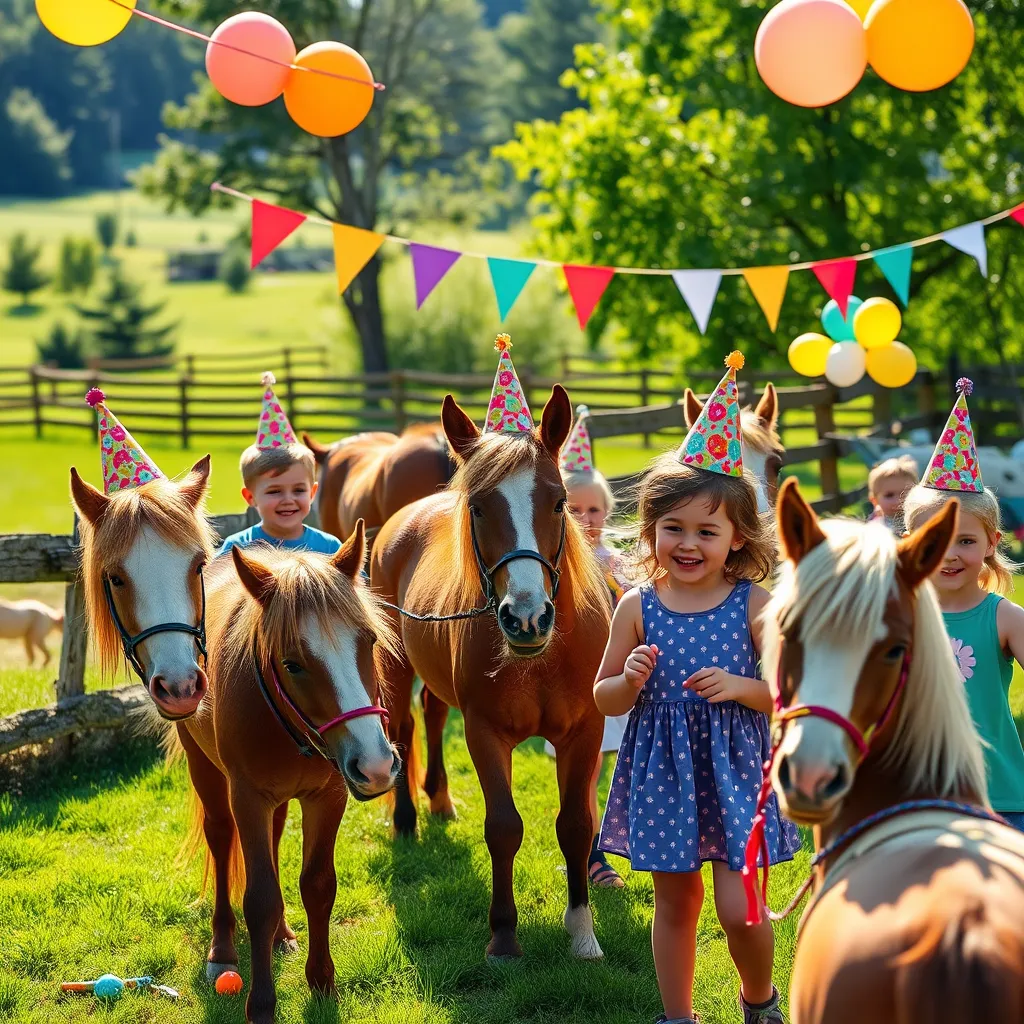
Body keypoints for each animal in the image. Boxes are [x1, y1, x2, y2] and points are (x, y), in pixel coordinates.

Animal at [167, 530, 401, 1024]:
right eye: (292, 663)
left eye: (368, 640)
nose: (375, 765)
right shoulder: (248, 798)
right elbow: (259, 898)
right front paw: (261, 1003)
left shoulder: (328, 797)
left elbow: (317, 885)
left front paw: (323, 982)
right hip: (206, 770)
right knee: (221, 840)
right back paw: (222, 946)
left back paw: (281, 935)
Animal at [370, 385, 612, 960]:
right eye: (478, 507)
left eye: (559, 501)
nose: (526, 617)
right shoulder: (485, 733)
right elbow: (503, 828)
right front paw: (503, 936)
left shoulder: (584, 733)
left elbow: (576, 826)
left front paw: (582, 930)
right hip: (395, 666)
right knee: (404, 727)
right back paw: (408, 820)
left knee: (433, 716)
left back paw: (439, 800)